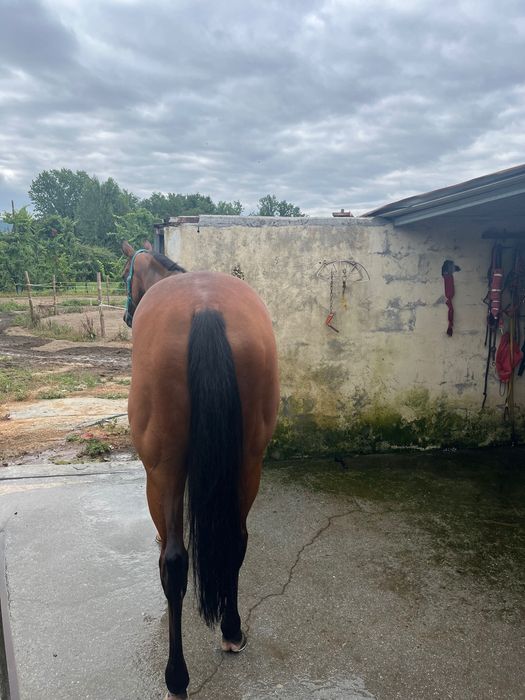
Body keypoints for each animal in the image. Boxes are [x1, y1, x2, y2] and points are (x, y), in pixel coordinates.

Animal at [121, 240, 279, 699]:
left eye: (125, 272)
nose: (126, 316)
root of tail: (205, 308)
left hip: (163, 469)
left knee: (176, 562)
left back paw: (177, 677)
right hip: (249, 461)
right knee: (237, 539)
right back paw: (232, 630)